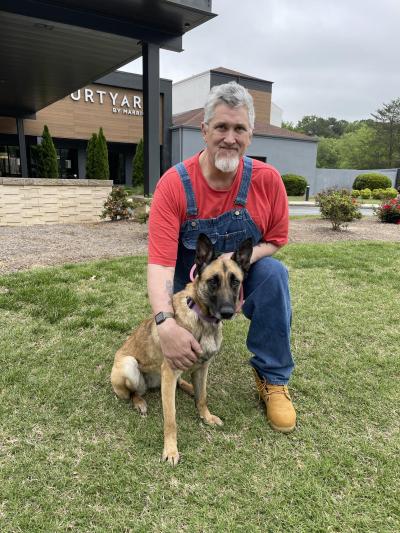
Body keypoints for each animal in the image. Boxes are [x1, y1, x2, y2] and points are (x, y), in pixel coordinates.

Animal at [111, 235, 252, 464]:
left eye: (235, 281)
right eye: (213, 281)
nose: (228, 312)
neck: (202, 319)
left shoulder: (203, 368)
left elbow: (202, 397)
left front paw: (206, 416)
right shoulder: (169, 372)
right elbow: (171, 419)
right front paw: (170, 449)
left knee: (182, 385)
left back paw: (189, 387)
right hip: (129, 365)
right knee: (133, 392)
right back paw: (139, 402)